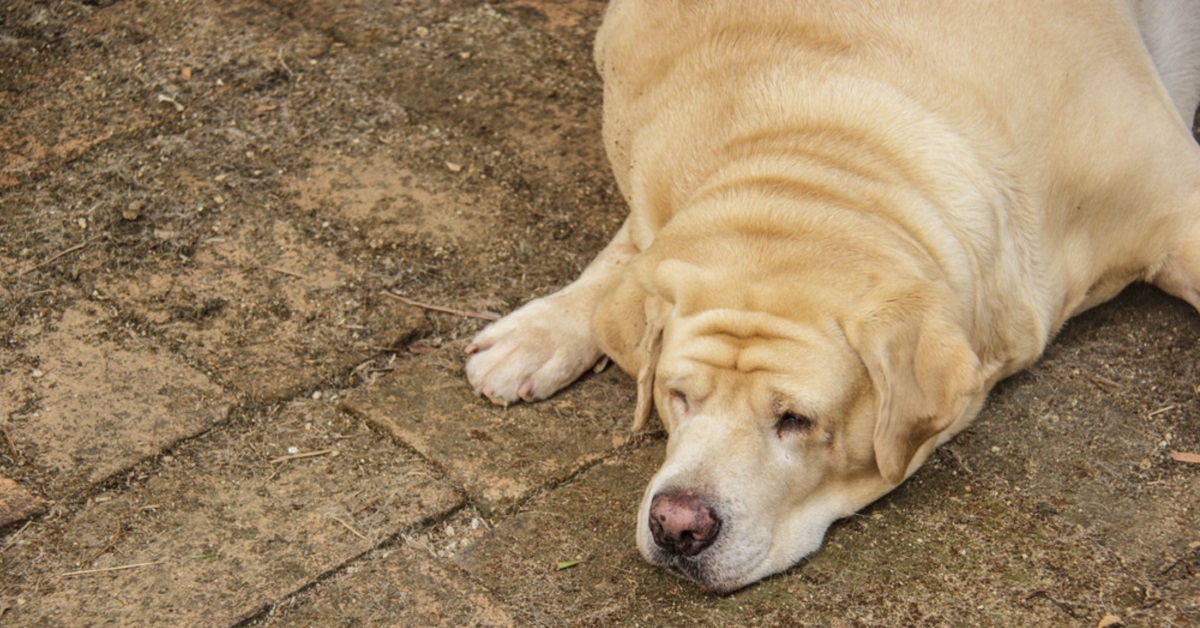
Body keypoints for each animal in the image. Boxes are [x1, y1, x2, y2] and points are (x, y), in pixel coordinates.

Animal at [463, 0, 1200, 593]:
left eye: (797, 419)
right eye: (678, 397)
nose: (676, 526)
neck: (817, 163)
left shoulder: (1175, 198)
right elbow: (628, 261)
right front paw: (546, 329)